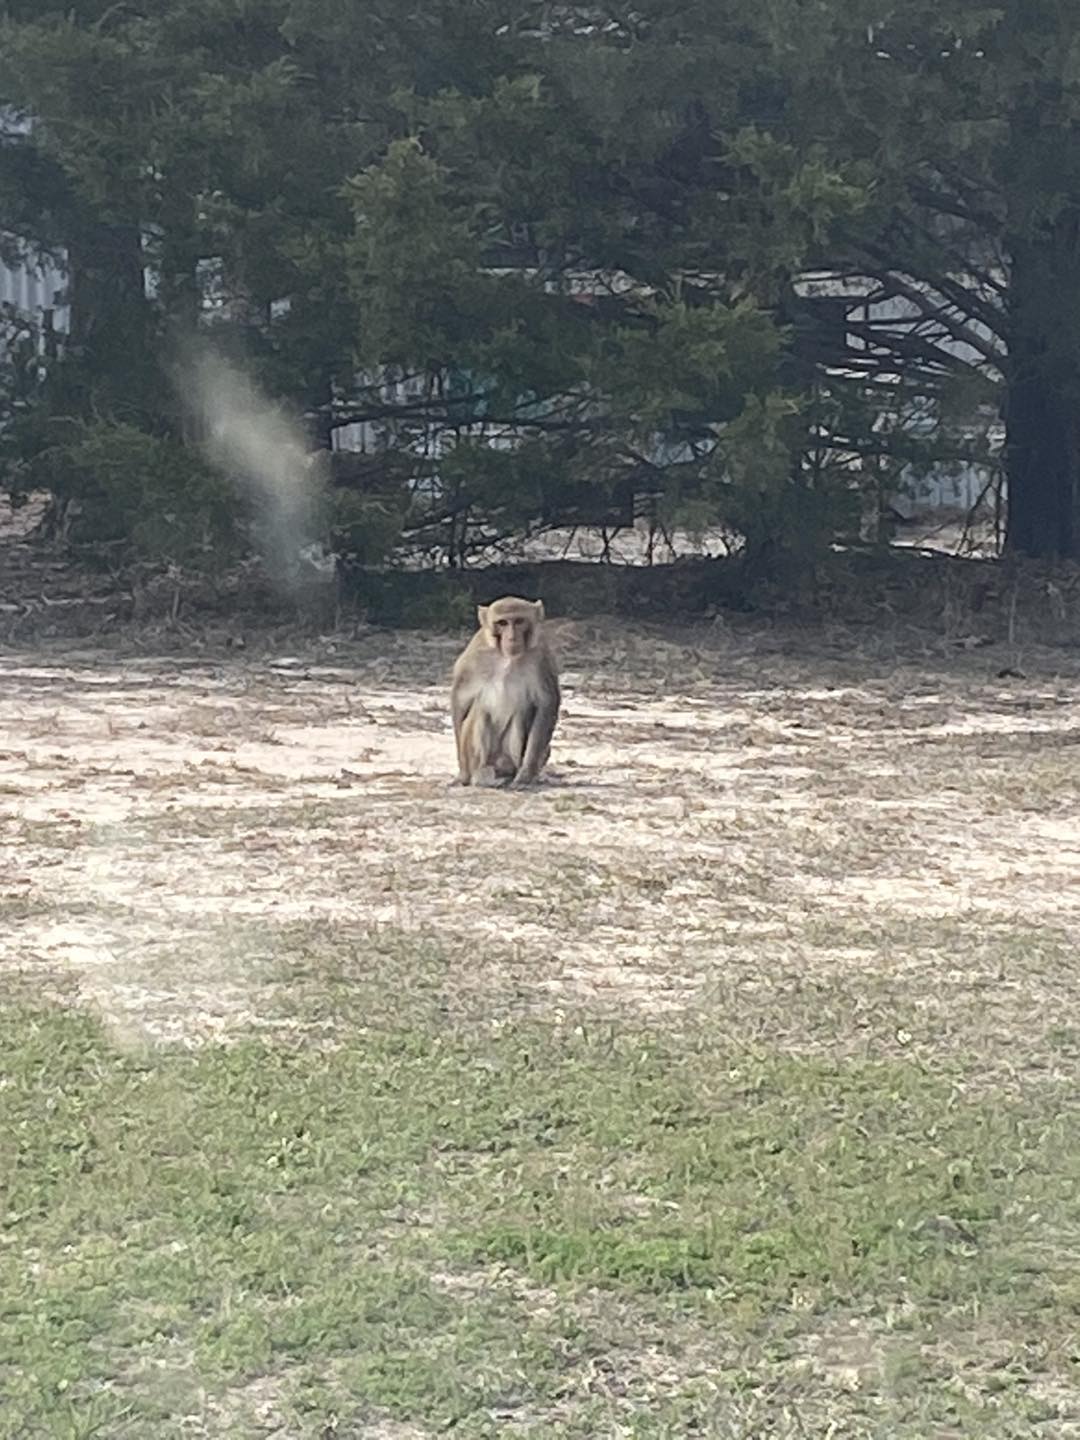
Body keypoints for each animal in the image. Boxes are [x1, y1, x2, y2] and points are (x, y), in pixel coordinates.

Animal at [450, 596, 560, 788]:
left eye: (519, 621)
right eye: (502, 623)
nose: (512, 637)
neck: (506, 657)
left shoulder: (540, 655)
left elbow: (546, 704)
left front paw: (525, 774)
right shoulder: (474, 655)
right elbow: (460, 701)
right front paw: (462, 774)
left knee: (519, 715)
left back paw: (511, 772)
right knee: (480, 710)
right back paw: (481, 774)